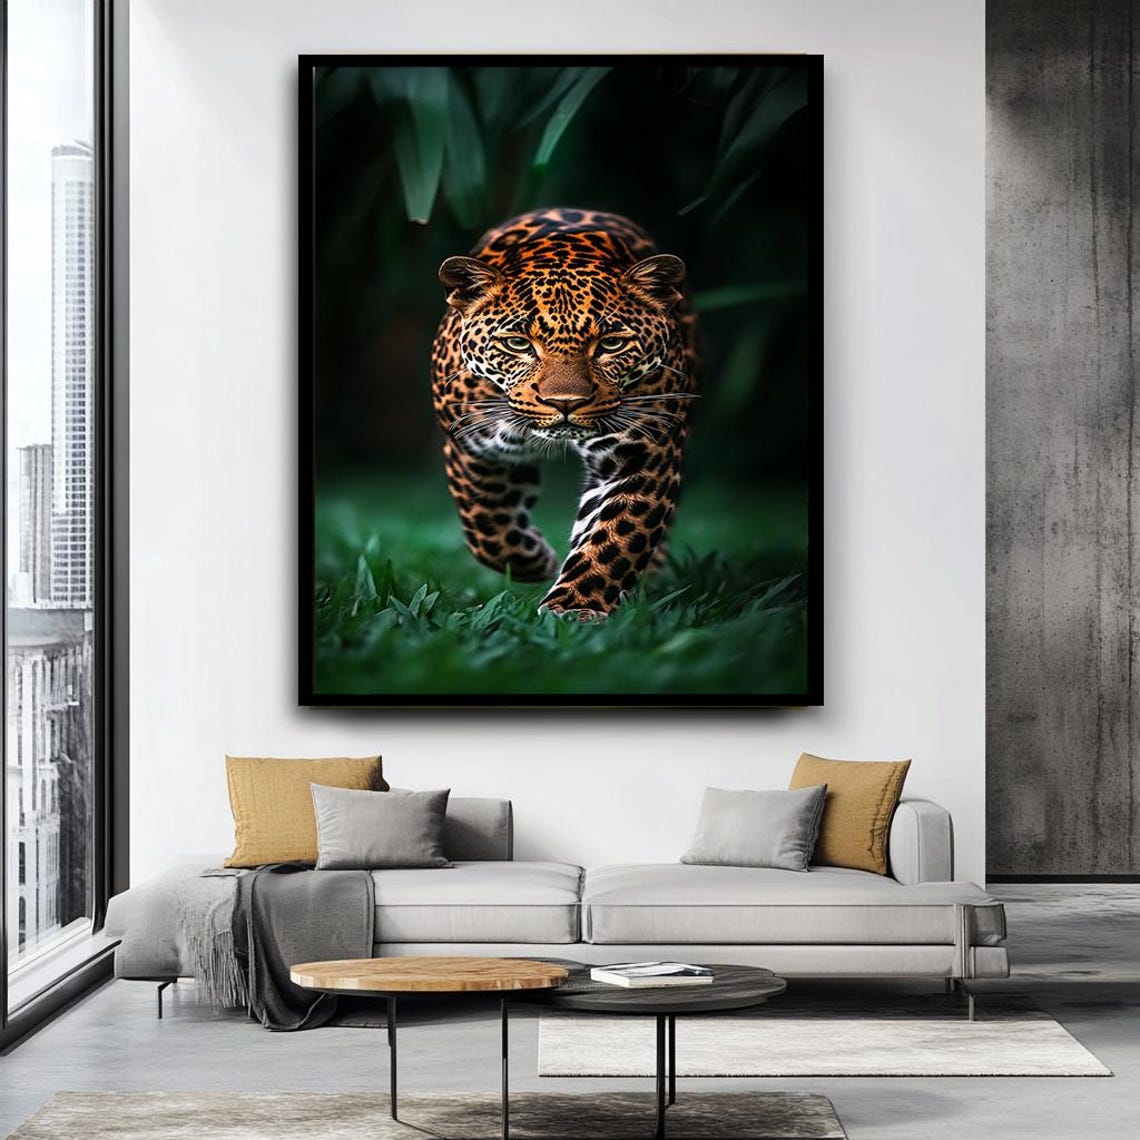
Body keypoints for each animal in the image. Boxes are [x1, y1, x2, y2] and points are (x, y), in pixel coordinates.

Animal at [430, 207, 700, 618]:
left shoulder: (644, 451)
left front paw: (573, 608)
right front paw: (534, 560)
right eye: (517, 343)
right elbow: (485, 523)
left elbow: (615, 537)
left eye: (611, 344)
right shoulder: (471, 446)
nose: (565, 402)